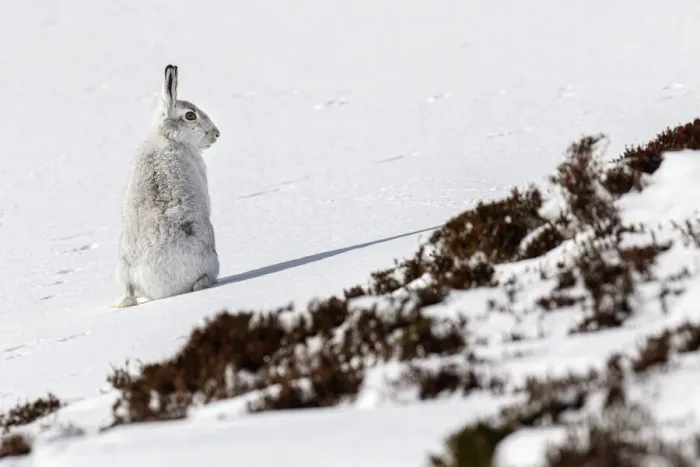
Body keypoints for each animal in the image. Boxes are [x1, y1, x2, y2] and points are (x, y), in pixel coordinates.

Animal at [114, 64, 220, 308]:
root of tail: (164, 288)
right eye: (190, 115)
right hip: (211, 254)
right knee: (201, 282)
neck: (167, 137)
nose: (216, 134)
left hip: (122, 266)